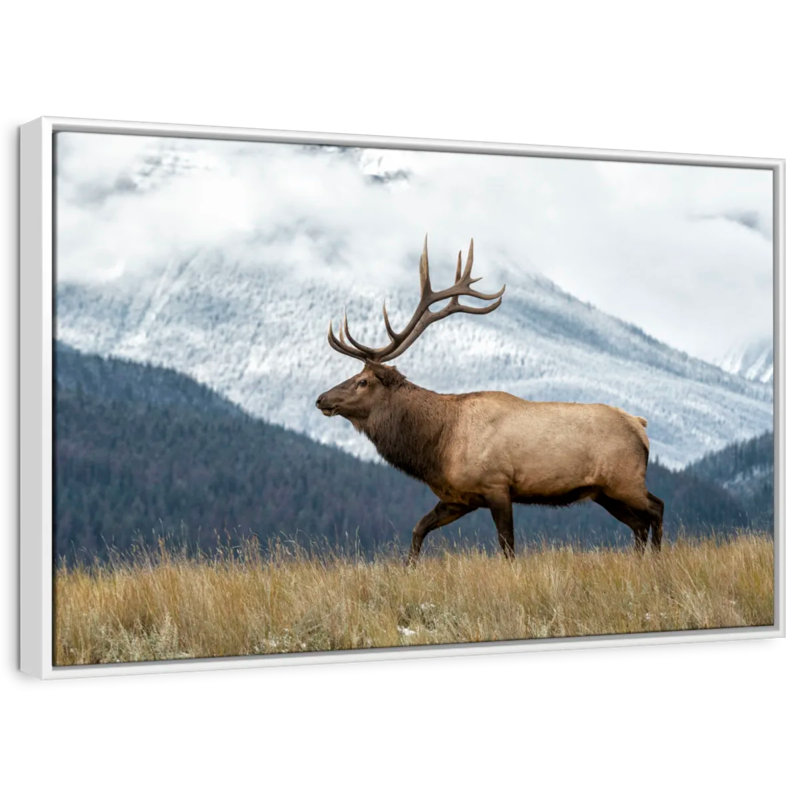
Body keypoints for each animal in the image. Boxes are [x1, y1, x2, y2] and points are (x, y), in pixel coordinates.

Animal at [316, 238, 664, 565]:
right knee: (638, 524)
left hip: (625, 478)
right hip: (604, 491)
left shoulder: (497, 485)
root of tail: (640, 425)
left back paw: (657, 560)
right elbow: (418, 529)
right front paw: (408, 568)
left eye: (362, 381)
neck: (438, 446)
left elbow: (507, 546)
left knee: (656, 509)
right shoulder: (459, 497)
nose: (321, 399)